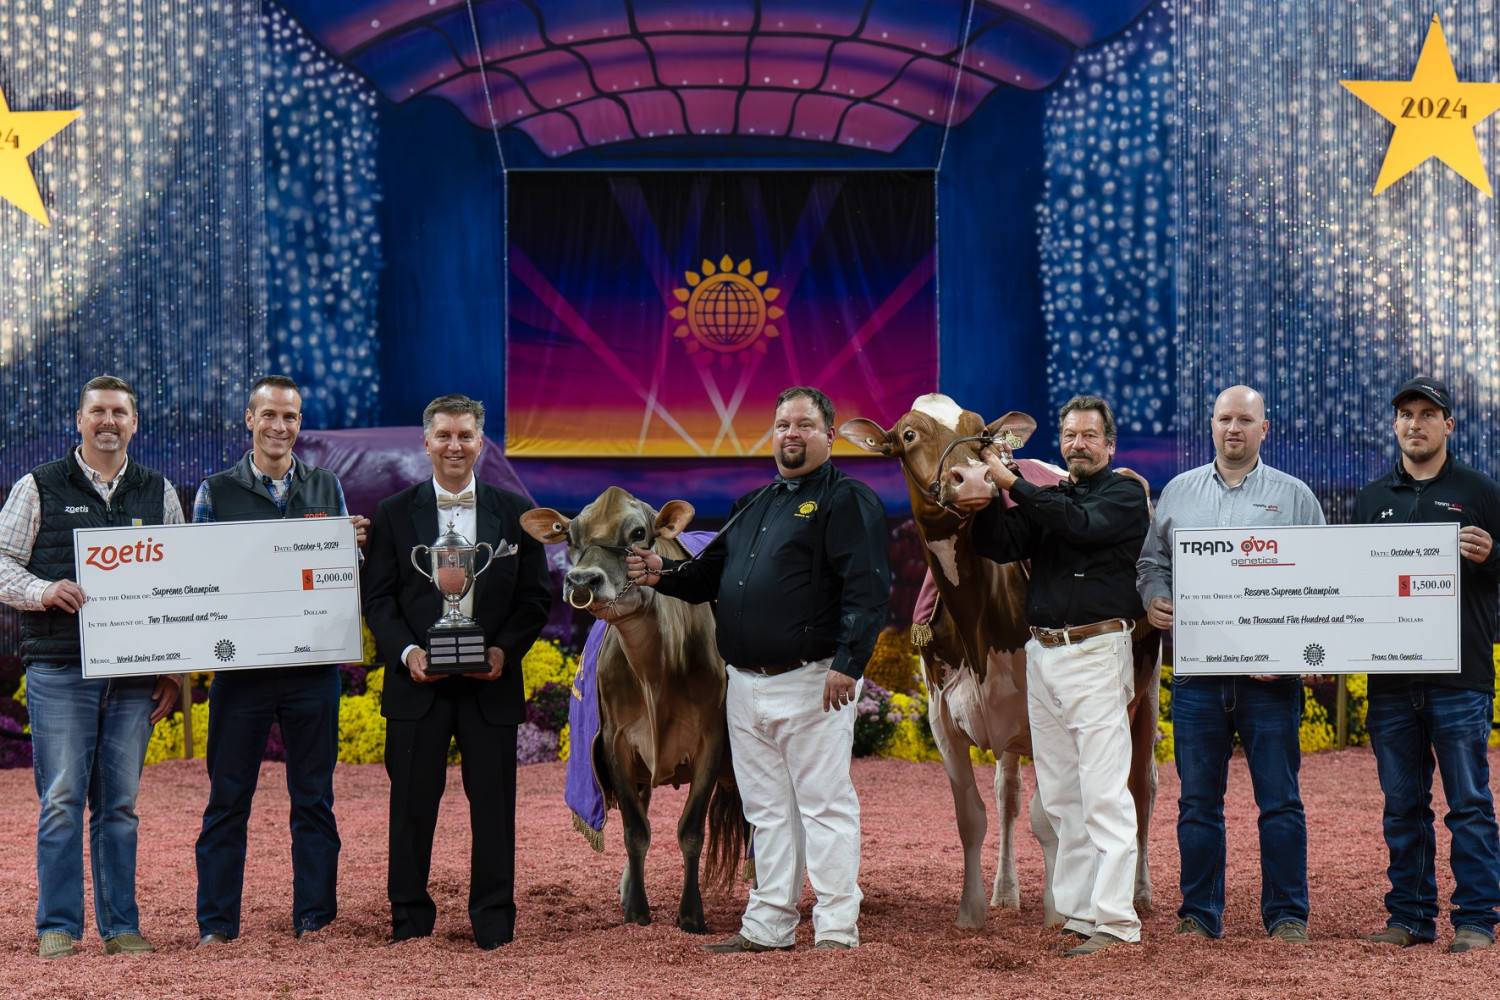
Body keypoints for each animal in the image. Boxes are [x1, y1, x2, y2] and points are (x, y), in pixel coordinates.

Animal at [840, 395, 1164, 929]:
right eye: (908, 435)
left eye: (982, 433)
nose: (973, 479)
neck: (976, 618)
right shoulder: (941, 714)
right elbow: (973, 815)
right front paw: (970, 912)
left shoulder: (1041, 713)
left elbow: (1047, 816)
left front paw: (1056, 910)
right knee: (1007, 792)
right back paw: (1006, 891)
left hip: (1148, 685)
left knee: (1140, 788)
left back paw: (1136, 893)